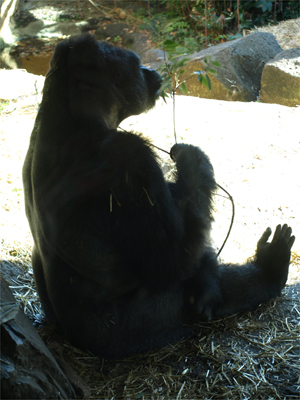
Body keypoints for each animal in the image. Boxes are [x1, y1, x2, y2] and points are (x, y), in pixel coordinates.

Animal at [22, 35, 296, 360]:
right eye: (136, 63)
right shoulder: (130, 157)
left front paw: (207, 278)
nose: (151, 71)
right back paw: (270, 269)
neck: (70, 113)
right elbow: (173, 261)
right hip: (135, 333)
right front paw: (194, 160)